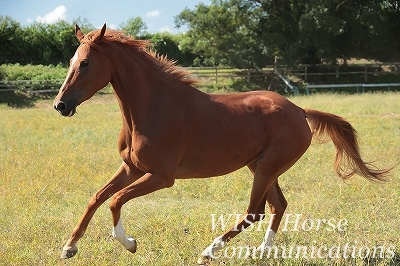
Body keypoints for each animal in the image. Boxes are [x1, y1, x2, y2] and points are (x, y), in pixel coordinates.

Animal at [53, 24, 390, 264]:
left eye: (85, 63)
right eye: (70, 61)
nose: (60, 105)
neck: (153, 107)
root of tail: (299, 111)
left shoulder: (161, 177)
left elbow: (115, 200)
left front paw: (130, 244)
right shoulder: (131, 168)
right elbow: (97, 197)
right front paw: (69, 247)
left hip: (266, 168)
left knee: (255, 211)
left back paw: (210, 251)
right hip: (261, 166)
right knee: (277, 206)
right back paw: (262, 253)